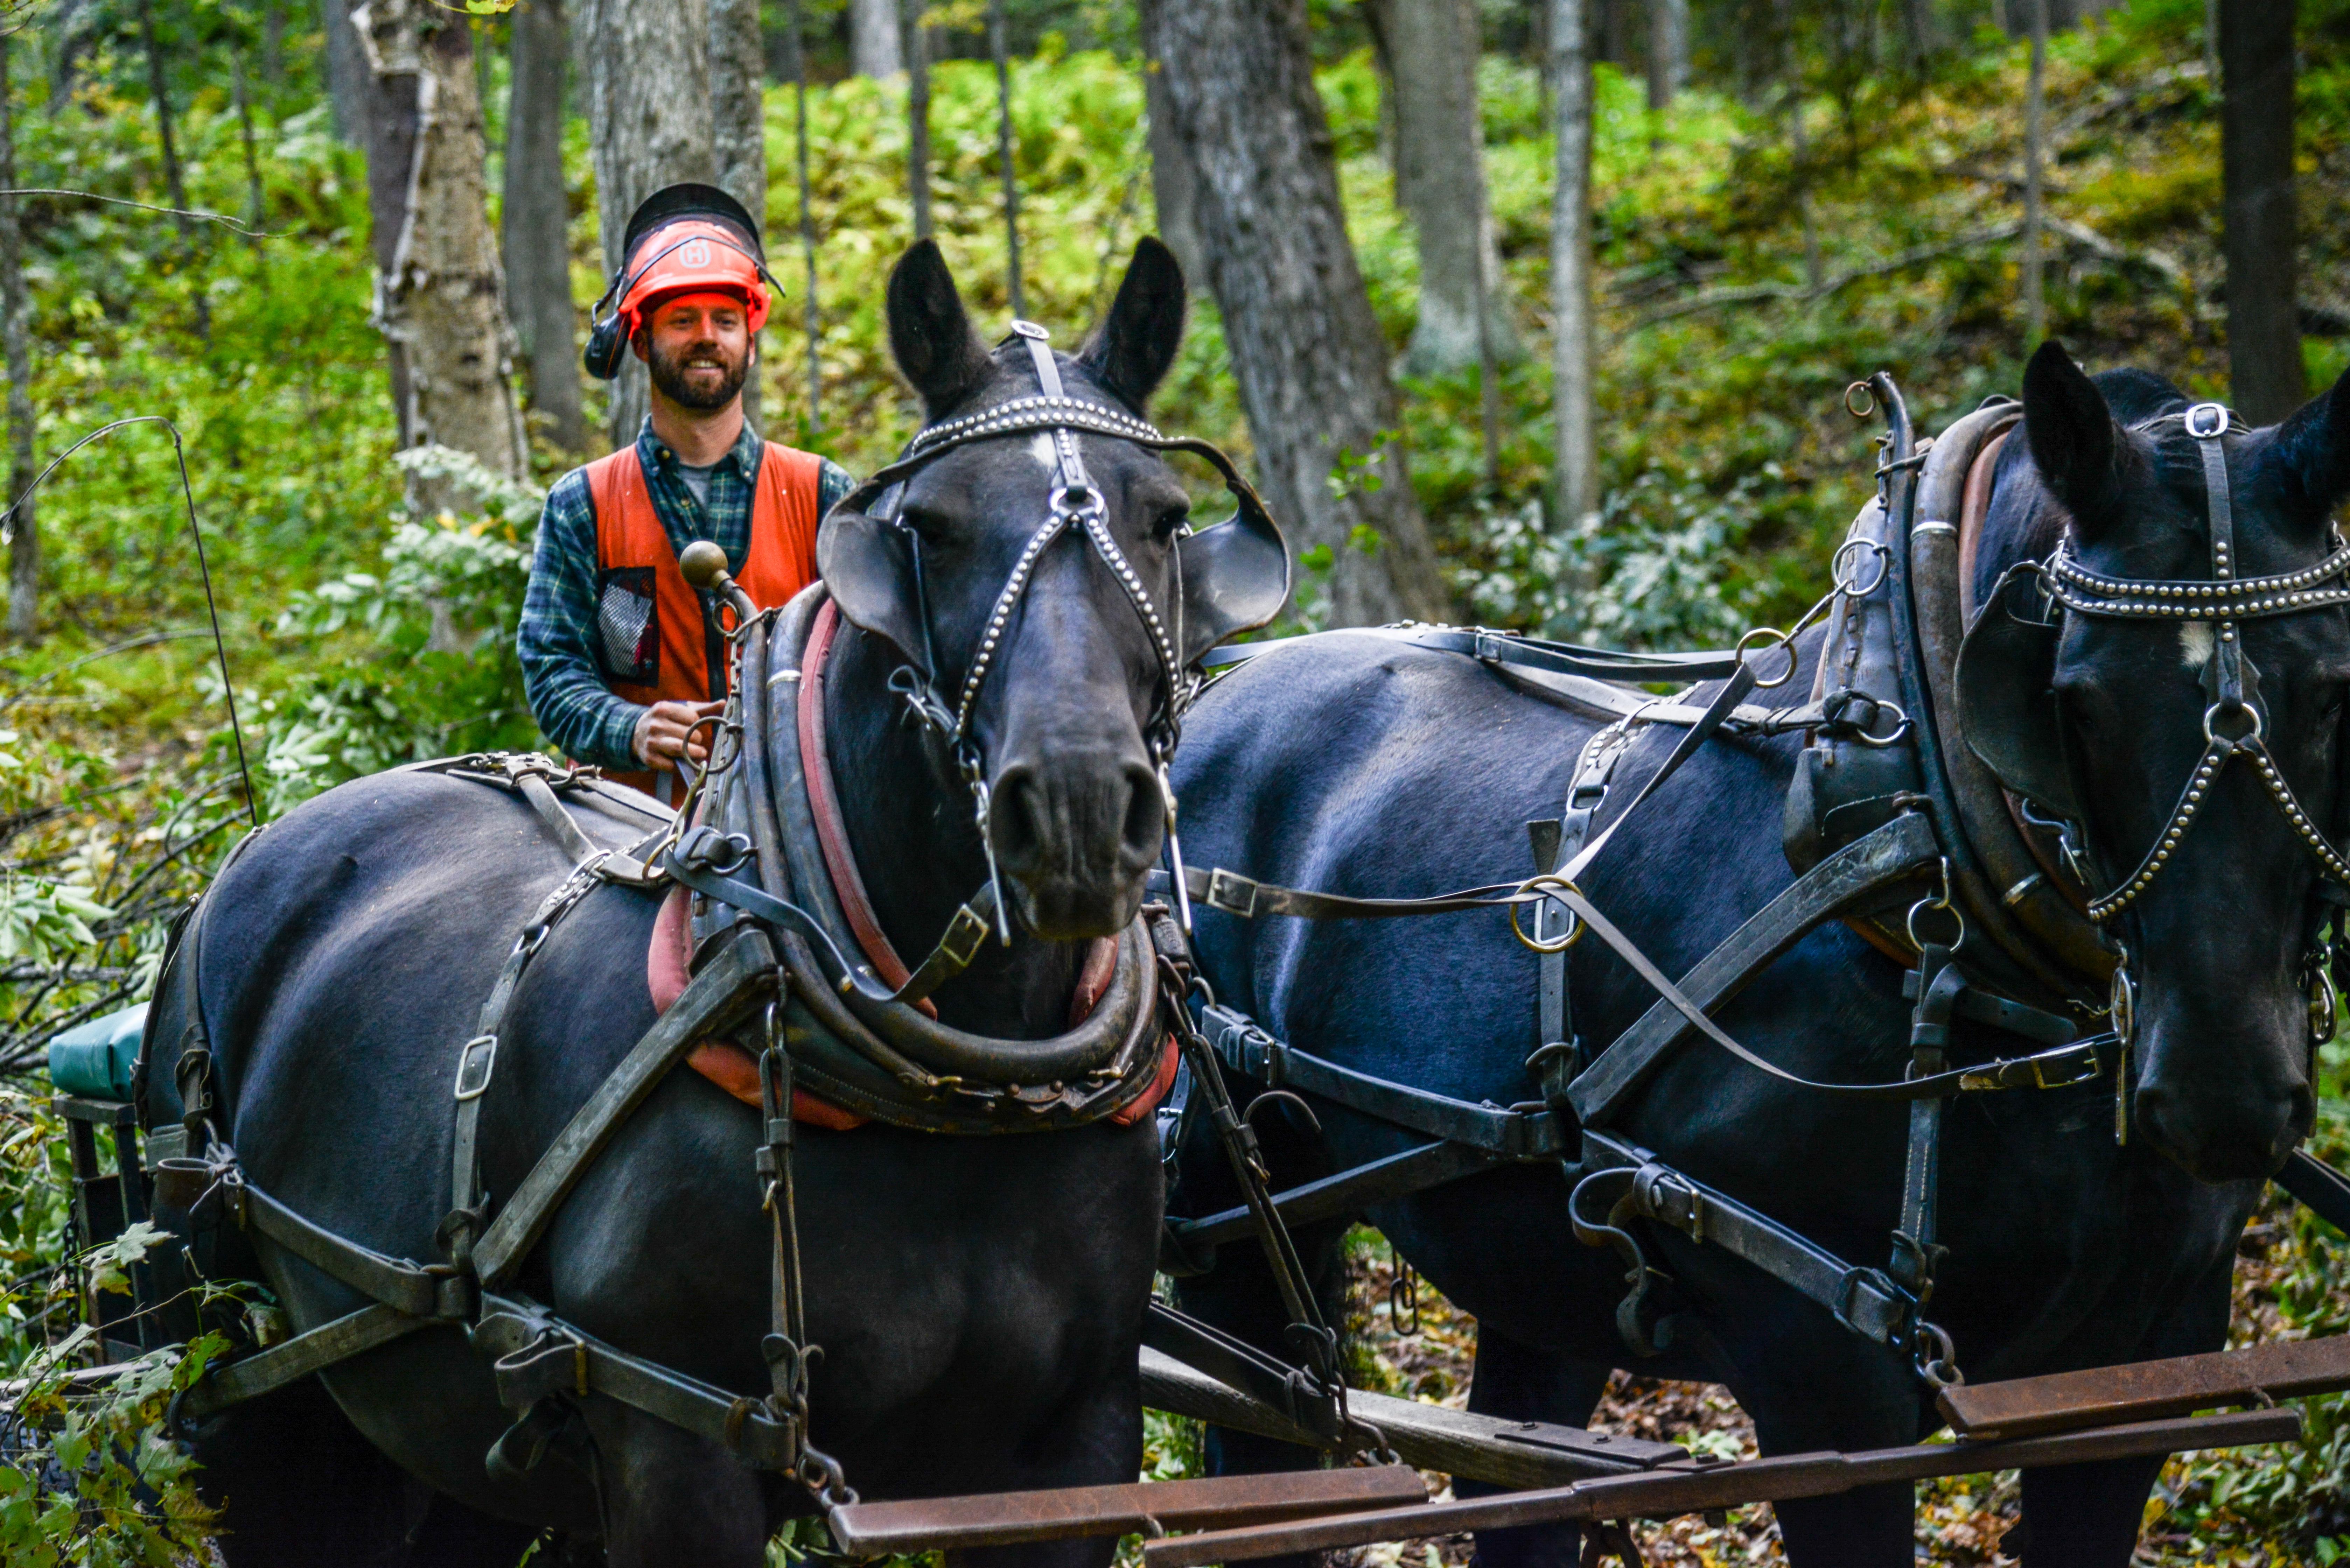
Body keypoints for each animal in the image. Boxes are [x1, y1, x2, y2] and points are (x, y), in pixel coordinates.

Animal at [141, 237, 1212, 1568]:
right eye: (933, 528)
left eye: (1167, 517)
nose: (1072, 808)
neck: (957, 1104)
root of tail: (241, 860)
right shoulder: (672, 1444)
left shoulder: (1076, 1451)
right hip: (230, 1378)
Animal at [1164, 342, 2350, 1566]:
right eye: (2073, 698)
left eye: (2332, 687)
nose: (2221, 1092)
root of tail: (1212, 688)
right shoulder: (1825, 1385)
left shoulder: (2140, 1369)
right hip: (1230, 1233)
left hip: (1528, 1263)